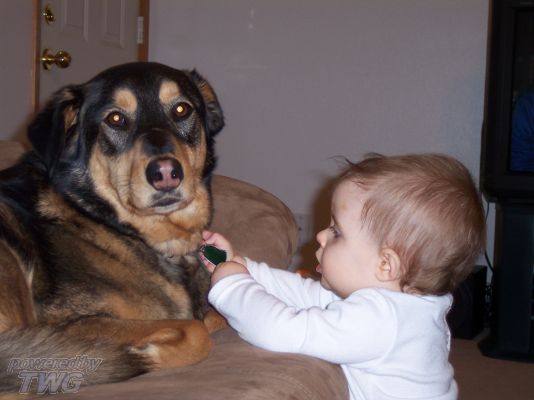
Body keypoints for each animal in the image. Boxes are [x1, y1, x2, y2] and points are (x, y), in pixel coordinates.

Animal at [0, 62, 225, 393]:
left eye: (182, 109)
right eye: (115, 118)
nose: (166, 173)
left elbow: (213, 318)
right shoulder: (67, 324)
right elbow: (195, 330)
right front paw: (145, 352)